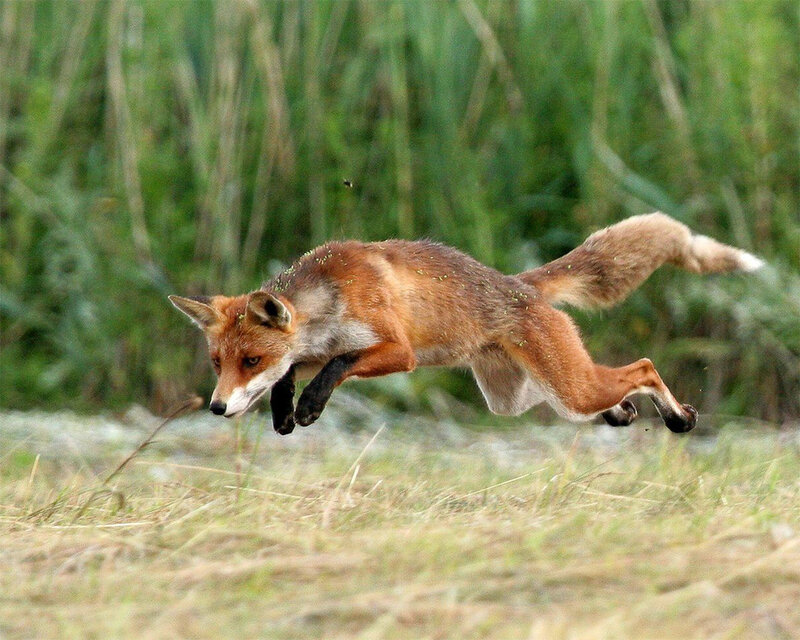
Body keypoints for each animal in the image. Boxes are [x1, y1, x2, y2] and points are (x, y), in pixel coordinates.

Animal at [169, 213, 763, 435]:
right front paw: (284, 410)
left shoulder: (397, 349)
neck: (329, 298)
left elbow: (340, 364)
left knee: (641, 366)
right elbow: (296, 371)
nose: (216, 406)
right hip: (518, 398)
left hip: (567, 388)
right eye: (219, 363)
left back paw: (678, 416)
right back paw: (625, 412)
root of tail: (521, 284)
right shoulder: (310, 348)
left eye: (251, 359)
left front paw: (311, 404)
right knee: (616, 386)